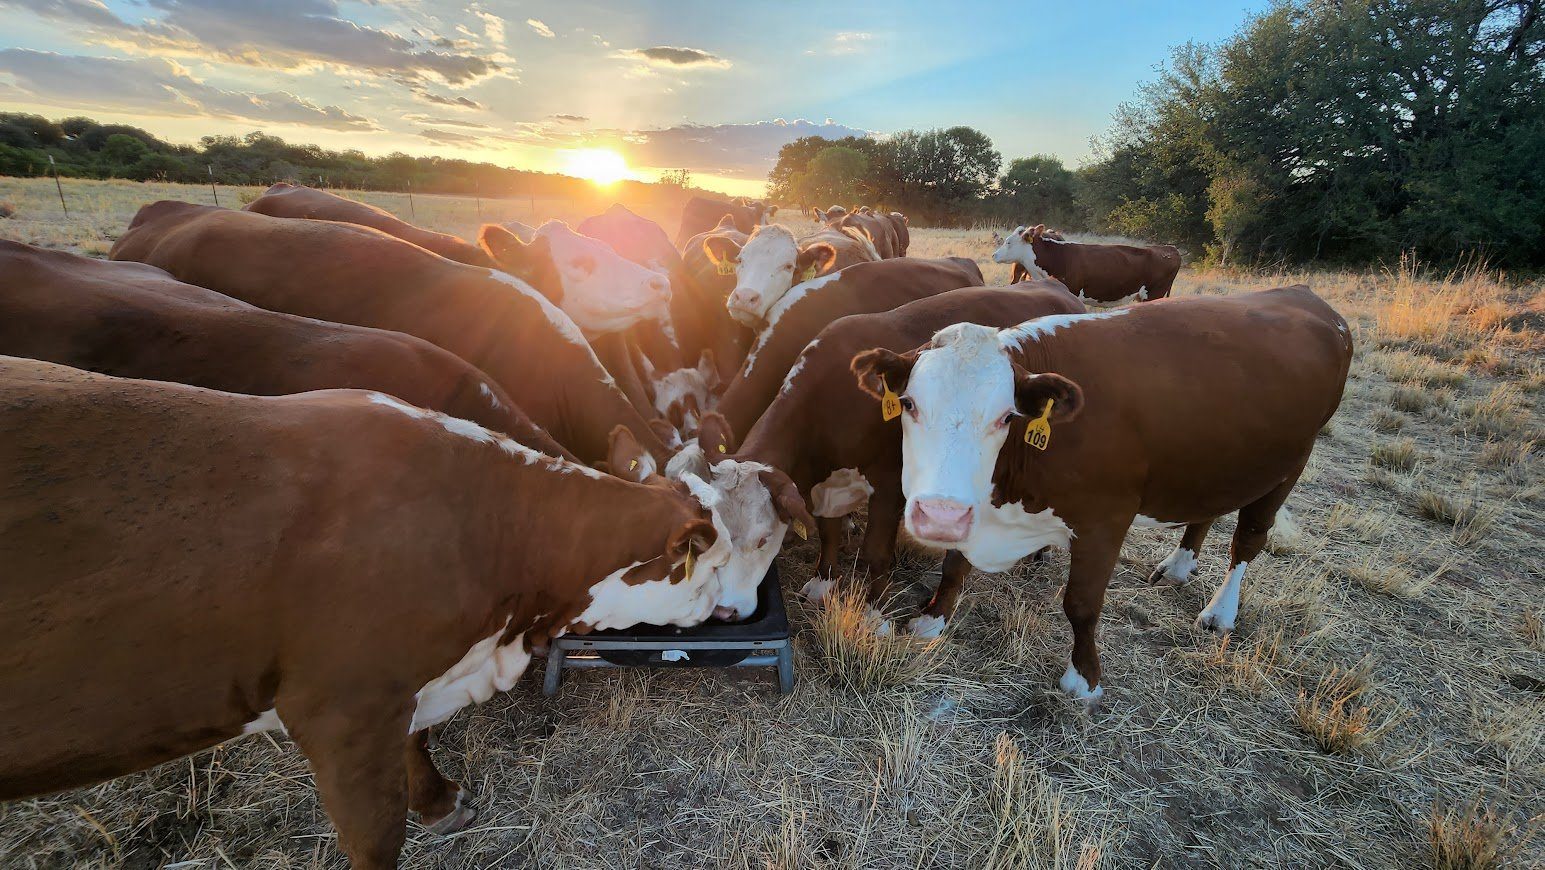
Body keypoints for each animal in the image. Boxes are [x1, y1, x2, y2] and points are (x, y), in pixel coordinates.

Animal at [0, 355, 802, 869]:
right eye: (720, 556)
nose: (734, 611)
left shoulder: (405, 685)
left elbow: (419, 743)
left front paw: (442, 802)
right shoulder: (341, 708)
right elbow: (376, 836)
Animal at [702, 282, 1084, 636]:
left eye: (764, 538)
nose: (724, 612)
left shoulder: (888, 483)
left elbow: (877, 552)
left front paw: (875, 616)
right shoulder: (824, 484)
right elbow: (828, 531)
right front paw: (824, 582)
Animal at [849, 286, 1351, 703]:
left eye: (1006, 416)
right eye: (909, 404)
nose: (939, 515)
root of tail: (1302, 293)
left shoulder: (1105, 520)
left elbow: (1082, 604)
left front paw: (1084, 679)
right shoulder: (976, 506)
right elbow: (954, 566)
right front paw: (933, 618)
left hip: (1289, 465)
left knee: (1248, 540)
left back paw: (1221, 612)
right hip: (1213, 463)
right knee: (1205, 511)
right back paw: (1179, 566)